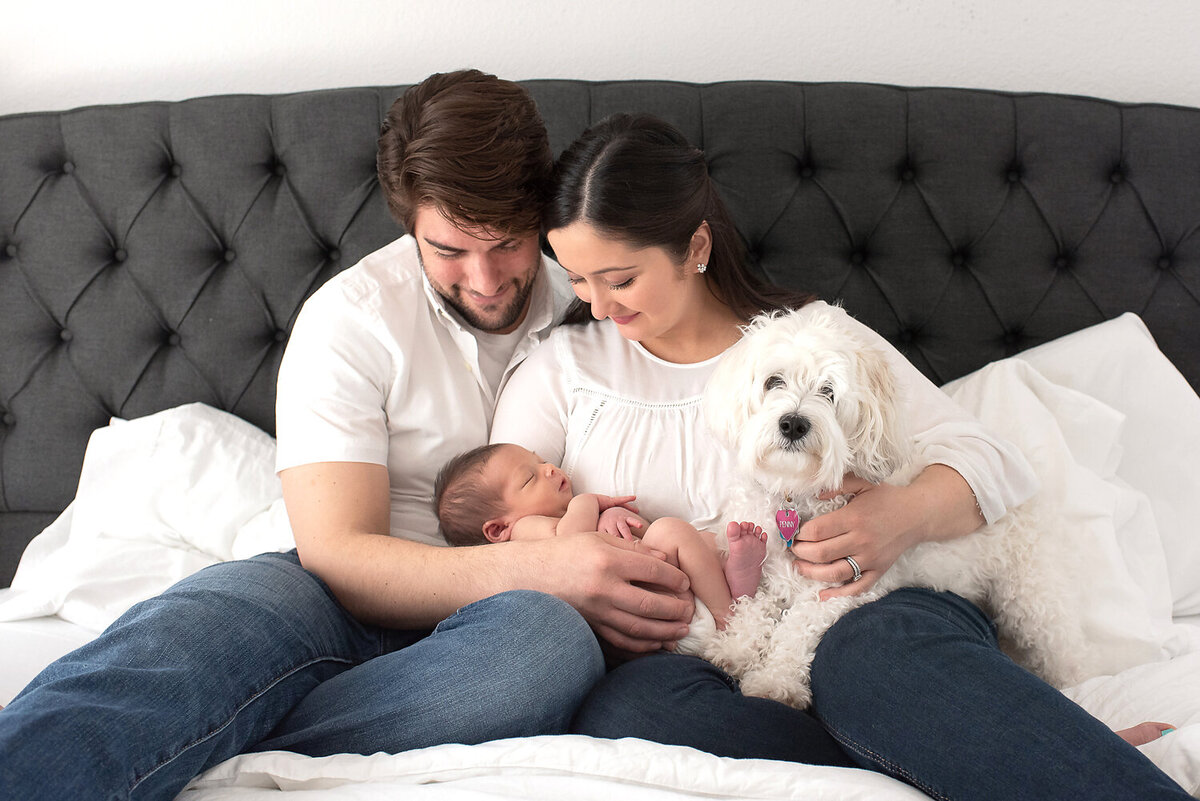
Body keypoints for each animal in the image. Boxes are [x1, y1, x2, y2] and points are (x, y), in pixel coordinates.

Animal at [686, 303, 1089, 709]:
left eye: (828, 392)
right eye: (774, 382)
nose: (793, 423)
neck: (796, 491)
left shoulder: (843, 589)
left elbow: (796, 629)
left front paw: (774, 681)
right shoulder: (767, 576)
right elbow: (751, 606)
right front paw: (735, 648)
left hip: (1033, 599)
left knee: (1068, 653)